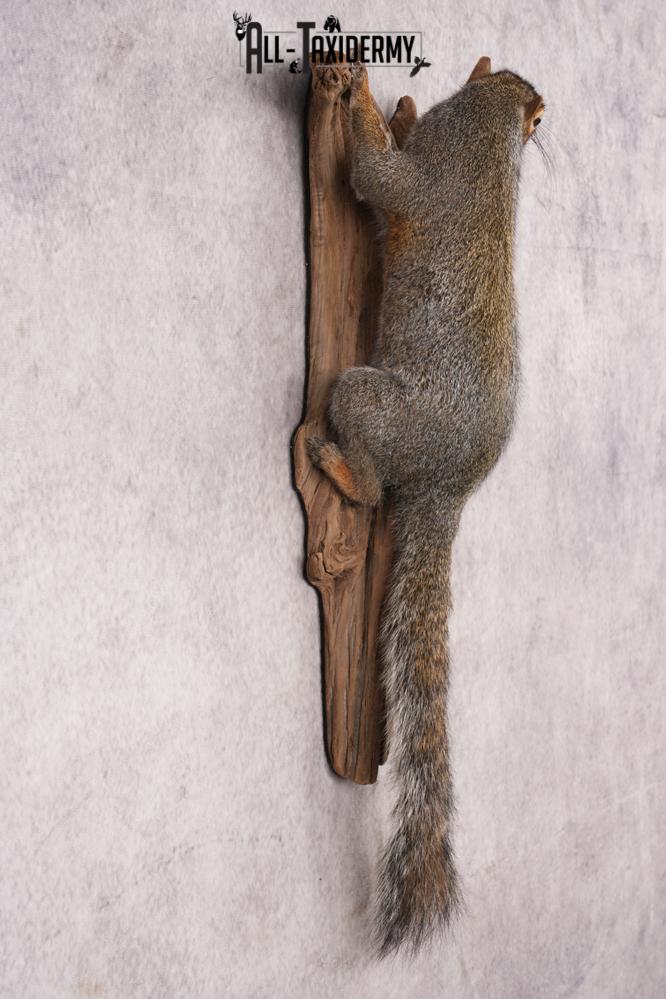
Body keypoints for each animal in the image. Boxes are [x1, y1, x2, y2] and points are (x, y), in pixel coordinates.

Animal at [307, 57, 545, 955]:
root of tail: (451, 485)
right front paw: (399, 107)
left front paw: (362, 103)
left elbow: (378, 177)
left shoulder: (429, 181)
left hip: (370, 402)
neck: (490, 133)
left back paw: (343, 469)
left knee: (375, 479)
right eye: (501, 73)